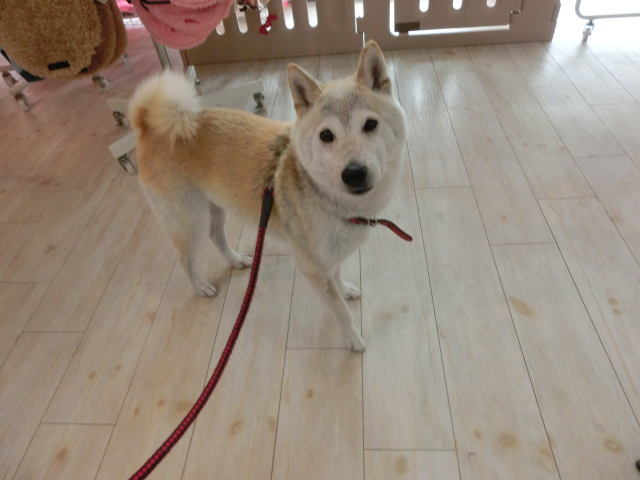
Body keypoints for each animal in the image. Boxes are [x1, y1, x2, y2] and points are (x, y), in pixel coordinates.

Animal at [128, 40, 407, 351]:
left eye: (370, 124)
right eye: (326, 135)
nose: (354, 173)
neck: (331, 201)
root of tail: (147, 125)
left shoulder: (328, 257)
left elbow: (337, 278)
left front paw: (345, 289)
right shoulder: (313, 267)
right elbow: (340, 310)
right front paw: (352, 338)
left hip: (214, 207)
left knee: (217, 236)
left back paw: (236, 260)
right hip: (189, 220)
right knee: (185, 259)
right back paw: (201, 286)